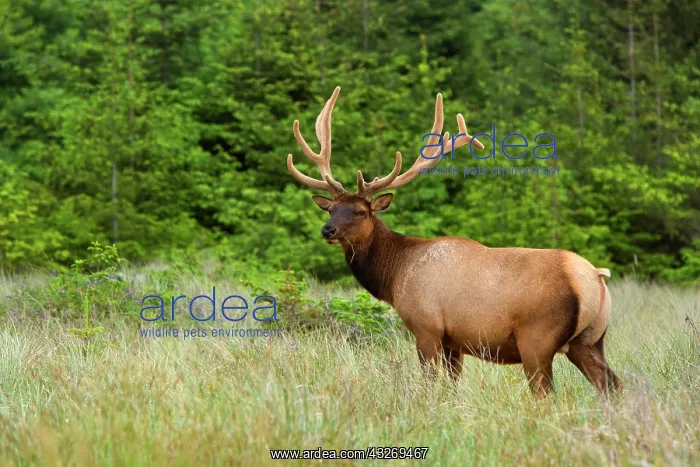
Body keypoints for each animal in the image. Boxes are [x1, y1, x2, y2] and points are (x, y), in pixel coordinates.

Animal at [285, 86, 622, 397]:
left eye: (359, 211)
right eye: (330, 208)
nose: (328, 230)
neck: (395, 275)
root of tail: (594, 278)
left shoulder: (427, 327)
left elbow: (430, 384)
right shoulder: (454, 341)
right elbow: (452, 387)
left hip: (537, 337)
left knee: (547, 393)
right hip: (589, 340)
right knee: (612, 383)